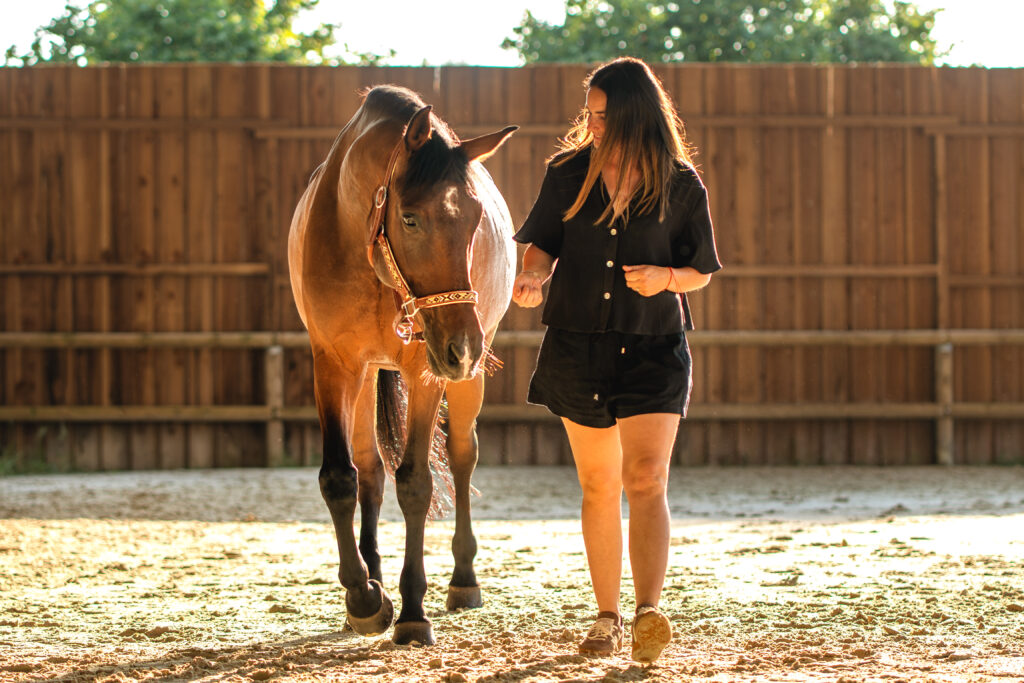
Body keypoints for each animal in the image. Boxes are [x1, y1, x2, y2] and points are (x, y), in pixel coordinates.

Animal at [287, 85, 517, 646]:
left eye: (475, 220)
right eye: (410, 217)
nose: (463, 346)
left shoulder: (425, 371)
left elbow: (416, 482)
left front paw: (413, 607)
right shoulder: (332, 364)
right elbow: (341, 478)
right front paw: (364, 596)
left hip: (463, 378)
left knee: (462, 456)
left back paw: (463, 579)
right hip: (372, 373)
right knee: (370, 467)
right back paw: (371, 575)